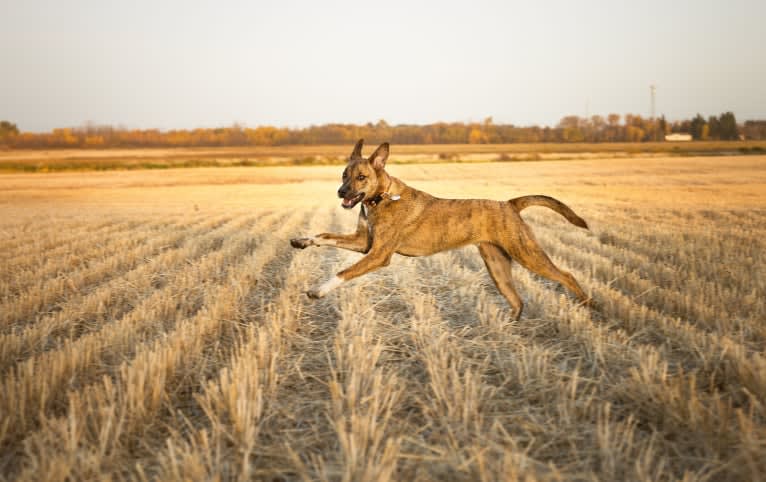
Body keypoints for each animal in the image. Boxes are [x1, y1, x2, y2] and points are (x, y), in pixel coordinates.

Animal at [292, 138, 592, 320]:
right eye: (344, 174)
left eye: (361, 177)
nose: (341, 192)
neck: (382, 198)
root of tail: (509, 204)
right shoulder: (362, 242)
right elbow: (324, 235)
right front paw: (302, 241)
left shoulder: (378, 255)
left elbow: (343, 272)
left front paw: (319, 290)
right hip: (497, 266)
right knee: (517, 301)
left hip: (527, 254)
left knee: (567, 275)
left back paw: (586, 306)